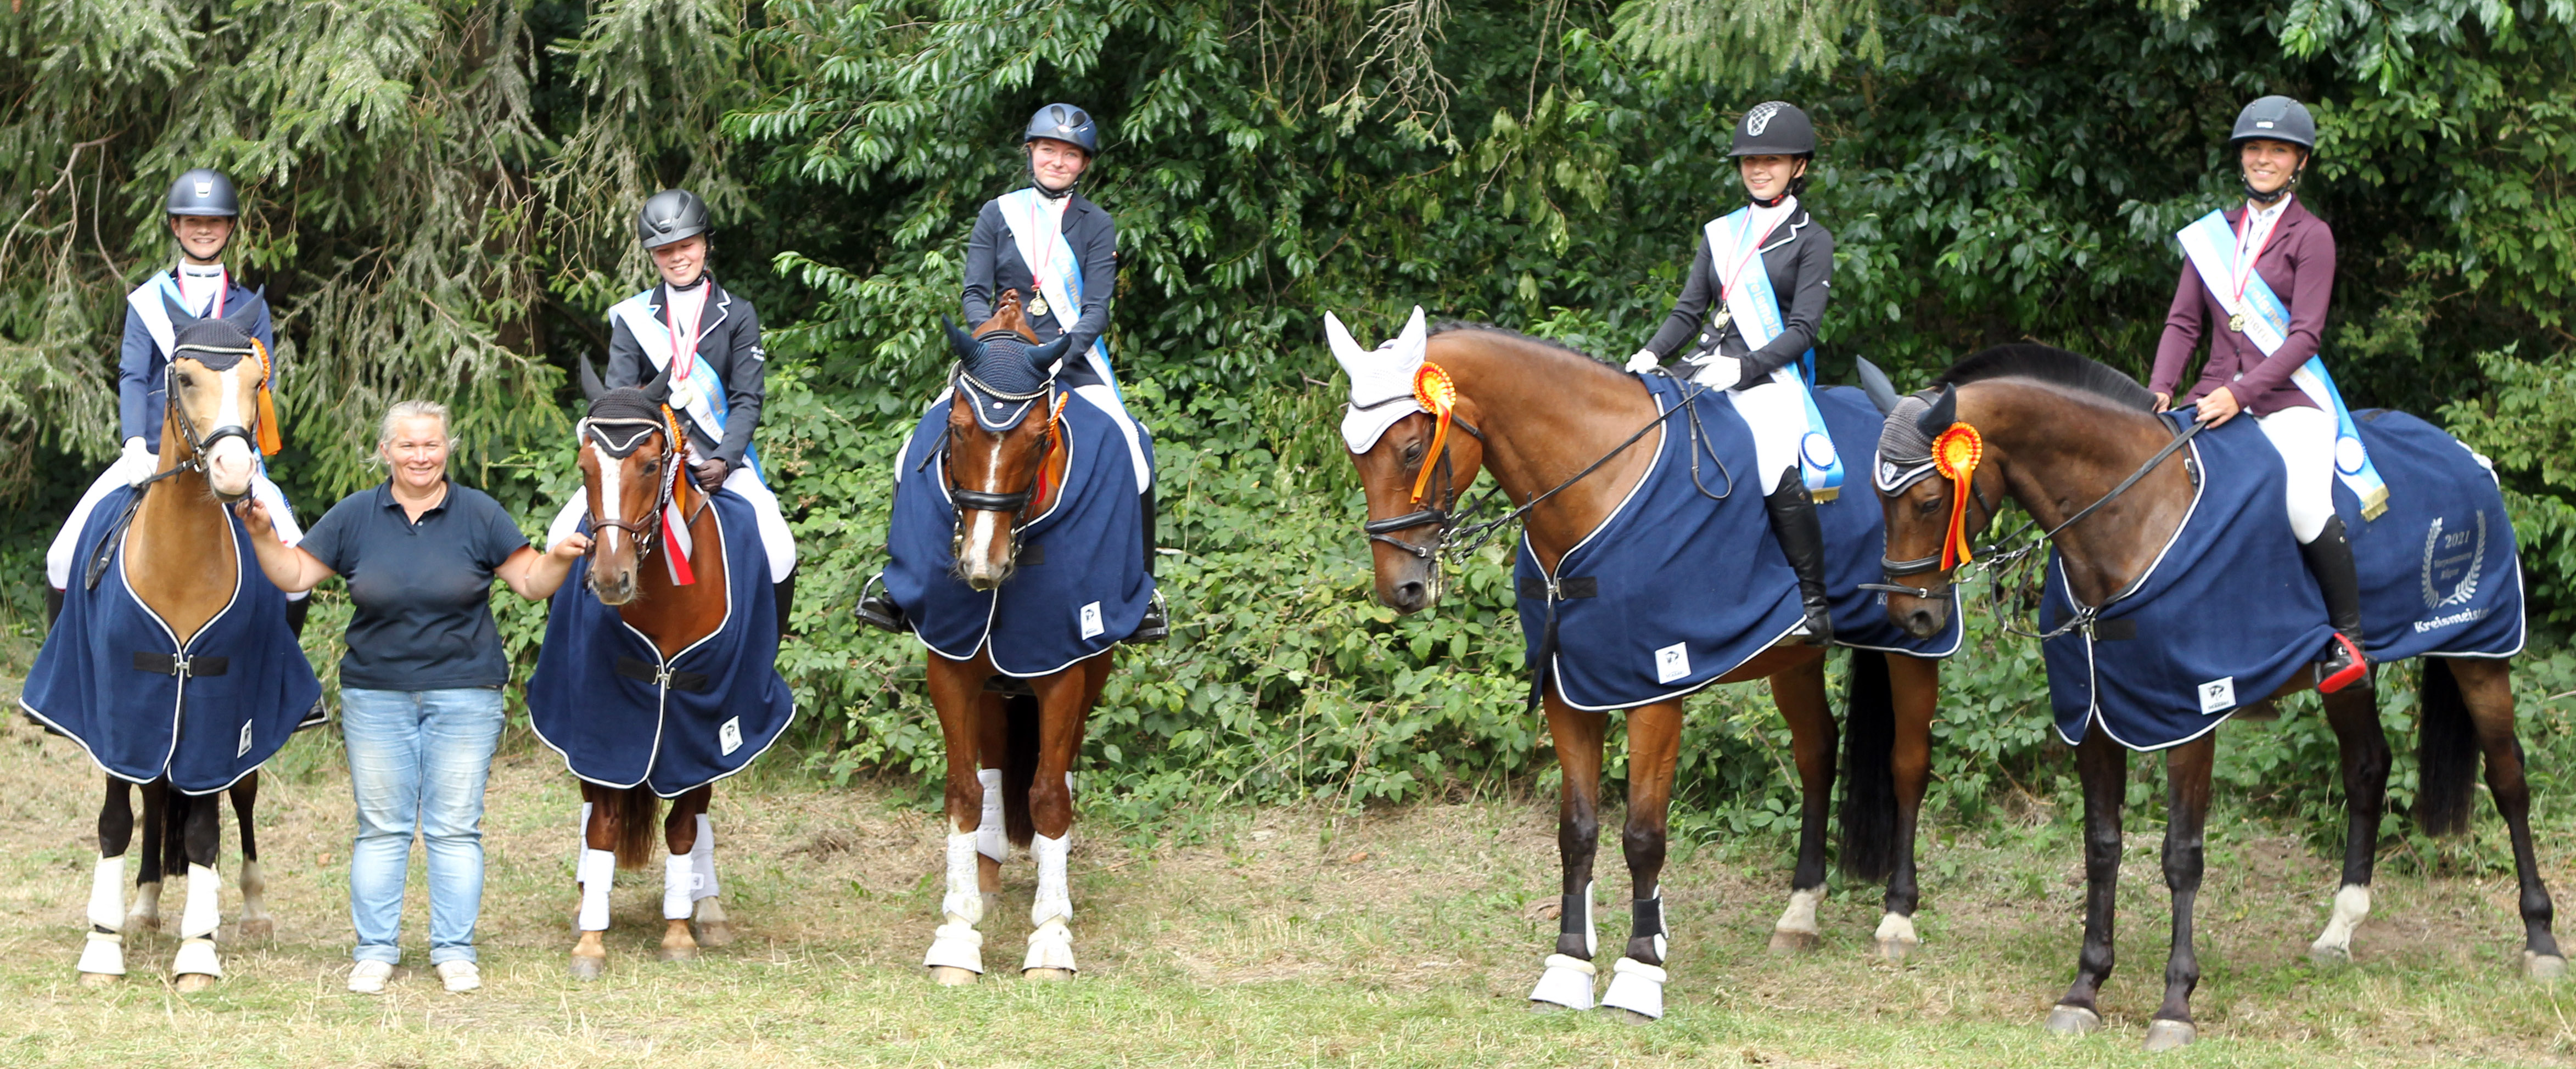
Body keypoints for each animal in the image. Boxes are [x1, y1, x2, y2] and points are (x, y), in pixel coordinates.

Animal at [16, 299, 319, 989]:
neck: (179, 561)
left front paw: (199, 952)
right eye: (183, 378)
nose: (235, 471)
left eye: (256, 382)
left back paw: (252, 909)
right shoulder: (118, 708)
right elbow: (114, 822)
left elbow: (206, 830)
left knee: (242, 796)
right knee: (154, 793)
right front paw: (102, 945)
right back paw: (145, 904)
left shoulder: (217, 707)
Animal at [525, 361, 793, 978]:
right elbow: (602, 822)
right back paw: (589, 895)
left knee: (701, 819)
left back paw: (707, 906)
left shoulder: (706, 723)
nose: (609, 579)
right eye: (585, 467)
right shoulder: (603, 721)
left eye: (650, 465)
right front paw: (591, 938)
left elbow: (683, 828)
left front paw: (679, 930)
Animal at [870, 291, 1154, 989]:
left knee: (1062, 770)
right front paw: (957, 931)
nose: (982, 565)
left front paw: (1051, 939)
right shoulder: (951, 662)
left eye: (1035, 438)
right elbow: (963, 792)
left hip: (1088, 669)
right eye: (957, 428)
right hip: (994, 677)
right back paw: (988, 871)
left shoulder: (1062, 663)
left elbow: (1050, 796)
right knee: (996, 766)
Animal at [1329, 307, 1947, 1020]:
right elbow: (1577, 830)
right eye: (1352, 451)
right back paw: (1800, 912)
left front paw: (1640, 971)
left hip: (1914, 642)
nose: (1400, 588)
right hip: (1795, 658)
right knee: (1817, 754)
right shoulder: (1569, 690)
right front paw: (1568, 965)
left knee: (1908, 766)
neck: (1597, 485)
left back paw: (1897, 918)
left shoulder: (1655, 688)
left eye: (1410, 450)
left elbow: (1644, 834)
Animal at [1875, 345, 2555, 1056]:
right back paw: (2339, 930)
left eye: (1929, 499)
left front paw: (2175, 1003)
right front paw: (2085, 988)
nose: (1909, 618)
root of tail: (2465, 455)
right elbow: (2101, 846)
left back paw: (2540, 940)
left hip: (2480, 653)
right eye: (1879, 499)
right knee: (2368, 769)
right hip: (2347, 679)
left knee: (2509, 779)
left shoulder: (2189, 714)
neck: (2131, 514)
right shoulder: (2094, 717)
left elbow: (2182, 855)